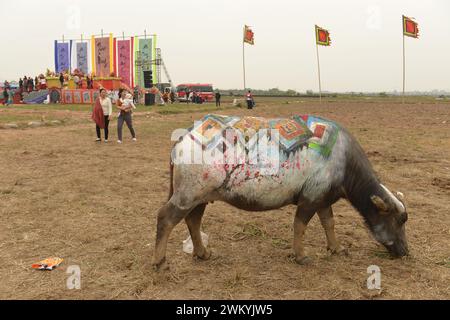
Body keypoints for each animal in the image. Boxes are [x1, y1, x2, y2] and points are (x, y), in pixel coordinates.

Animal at [153, 114, 410, 268]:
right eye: (398, 221)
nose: (405, 251)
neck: (343, 159)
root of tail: (182, 138)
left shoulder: (323, 198)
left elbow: (329, 223)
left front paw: (336, 248)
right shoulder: (310, 199)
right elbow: (300, 226)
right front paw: (301, 256)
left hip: (201, 196)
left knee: (193, 220)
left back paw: (202, 253)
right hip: (188, 193)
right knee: (166, 218)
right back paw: (160, 262)